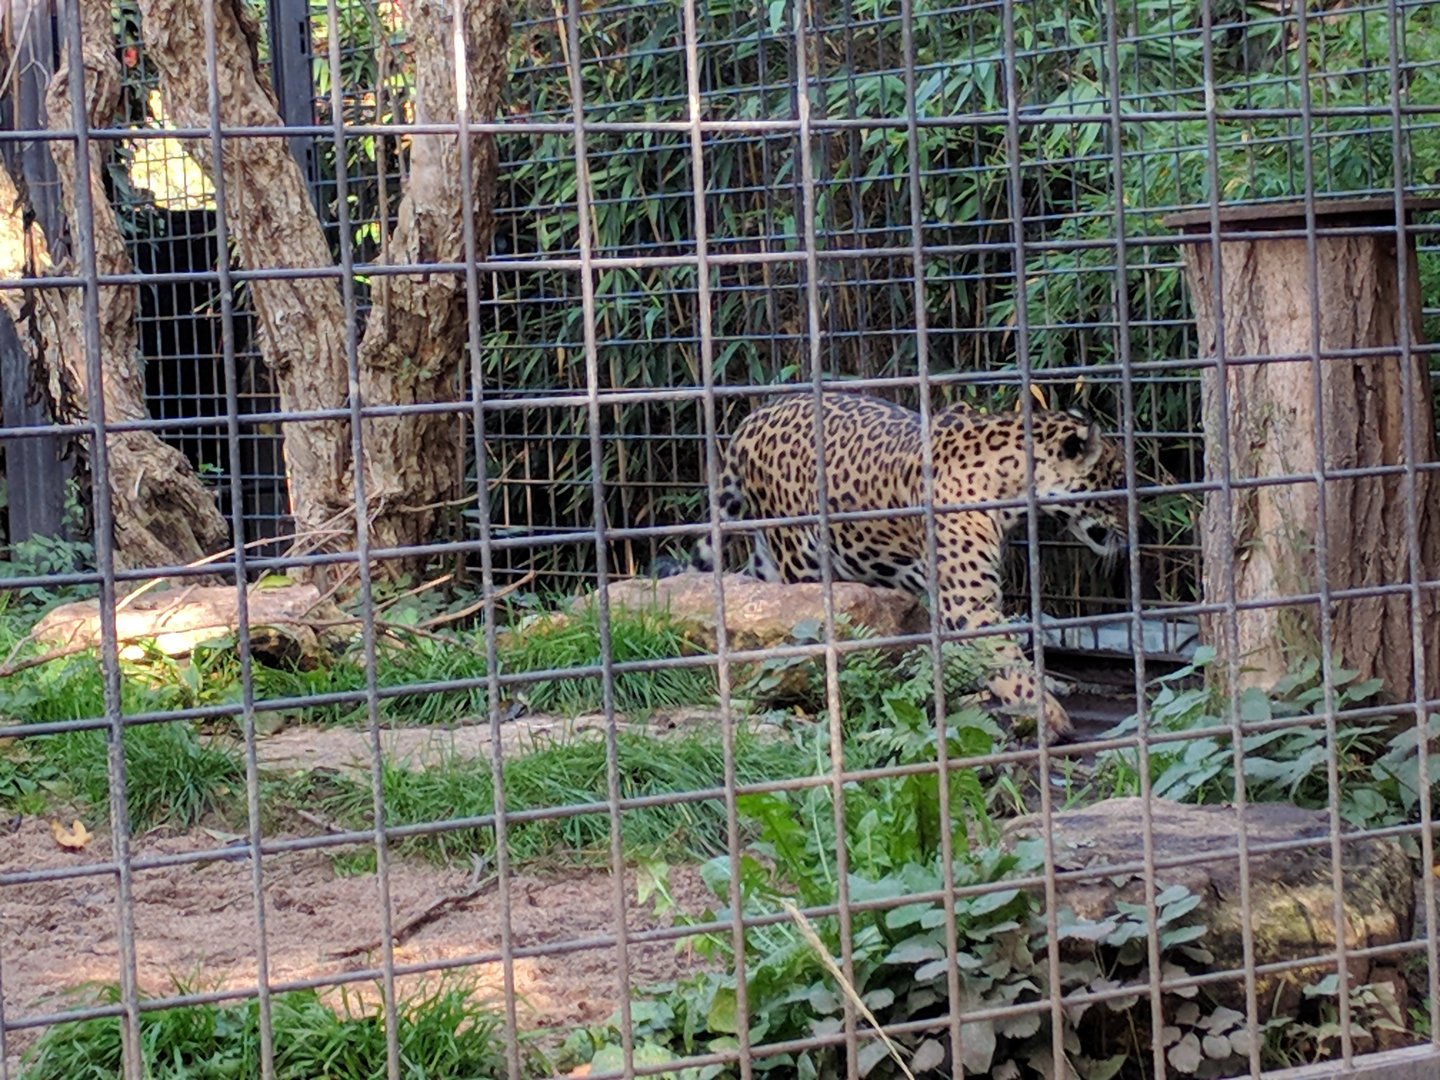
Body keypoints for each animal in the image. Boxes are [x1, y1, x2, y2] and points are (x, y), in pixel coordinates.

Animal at [689, 391, 1128, 741]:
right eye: (1117, 480)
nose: (1135, 526)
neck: (1013, 488)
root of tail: (754, 417)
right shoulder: (968, 606)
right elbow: (1006, 660)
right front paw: (1048, 715)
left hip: (770, 559)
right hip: (799, 558)